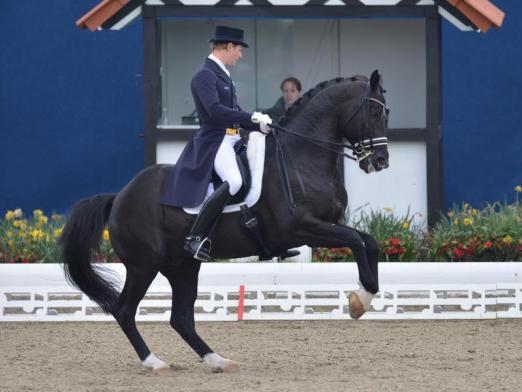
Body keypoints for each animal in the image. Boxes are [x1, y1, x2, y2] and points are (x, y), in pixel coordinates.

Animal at [60, 70, 386, 374]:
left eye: (387, 112)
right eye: (374, 112)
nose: (380, 162)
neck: (300, 156)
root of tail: (120, 196)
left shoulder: (323, 226)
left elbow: (368, 242)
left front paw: (364, 295)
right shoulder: (301, 228)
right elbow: (357, 241)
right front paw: (360, 300)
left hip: (182, 266)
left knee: (180, 318)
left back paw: (217, 360)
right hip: (144, 265)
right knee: (125, 310)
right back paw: (155, 362)